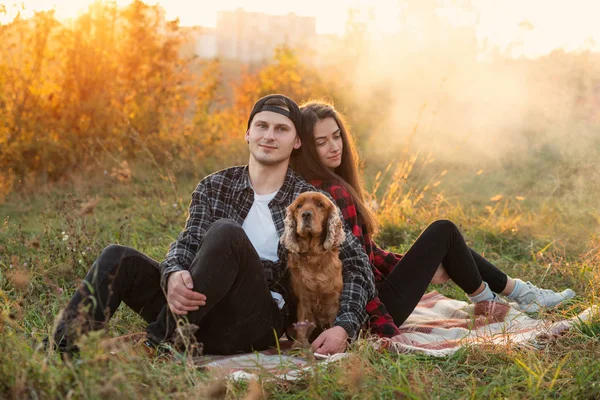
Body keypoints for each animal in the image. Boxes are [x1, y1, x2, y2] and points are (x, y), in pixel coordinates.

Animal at [282, 192, 346, 346]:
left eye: (320, 204)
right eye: (299, 206)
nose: (306, 214)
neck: (314, 256)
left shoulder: (333, 300)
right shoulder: (304, 299)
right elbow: (302, 326)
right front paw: (299, 346)